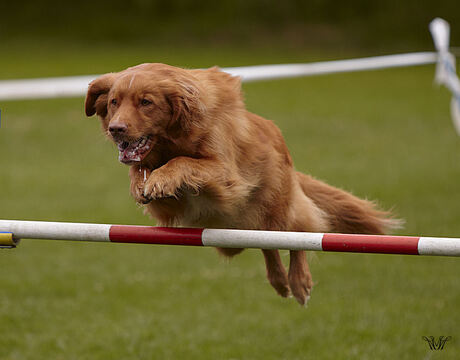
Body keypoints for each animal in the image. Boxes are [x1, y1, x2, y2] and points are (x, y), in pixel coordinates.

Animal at [86, 63, 398, 306]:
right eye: (114, 101)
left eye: (146, 102)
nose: (116, 129)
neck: (174, 138)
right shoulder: (169, 205)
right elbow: (140, 170)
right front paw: (142, 183)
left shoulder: (225, 175)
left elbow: (184, 162)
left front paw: (161, 178)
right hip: (237, 233)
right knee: (267, 244)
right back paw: (279, 281)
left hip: (279, 206)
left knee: (299, 235)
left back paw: (299, 282)